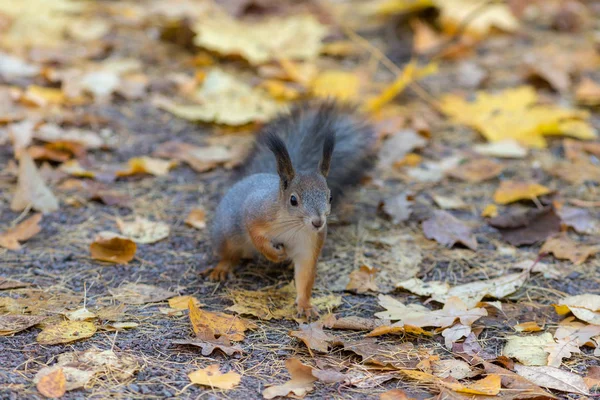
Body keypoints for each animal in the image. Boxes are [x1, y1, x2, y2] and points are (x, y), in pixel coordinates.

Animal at [209, 101, 372, 318]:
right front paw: (273, 254)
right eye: (293, 200)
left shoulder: (310, 244)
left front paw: (305, 305)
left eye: (330, 197)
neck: (293, 226)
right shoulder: (256, 213)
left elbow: (305, 275)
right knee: (229, 253)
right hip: (225, 232)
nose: (318, 222)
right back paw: (223, 267)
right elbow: (255, 235)